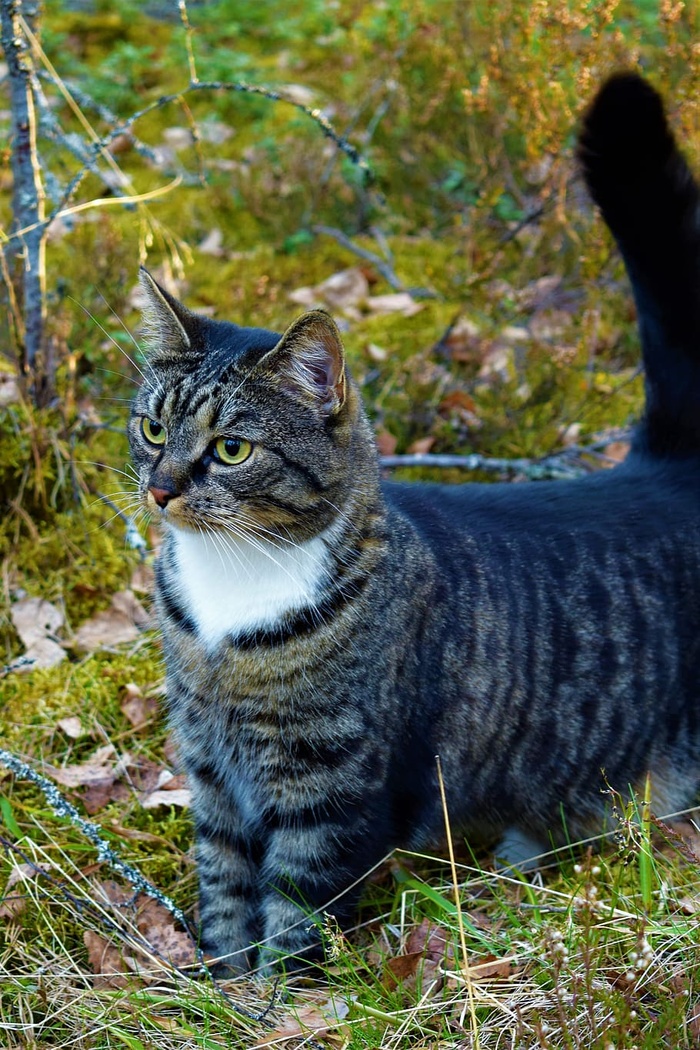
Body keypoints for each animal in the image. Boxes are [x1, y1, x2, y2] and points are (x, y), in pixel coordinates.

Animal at [128, 76, 700, 974]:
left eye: (230, 449)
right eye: (153, 429)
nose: (158, 491)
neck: (232, 594)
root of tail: (664, 465)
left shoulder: (333, 788)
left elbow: (295, 910)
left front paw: (273, 995)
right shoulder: (210, 767)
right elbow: (222, 884)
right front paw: (218, 979)